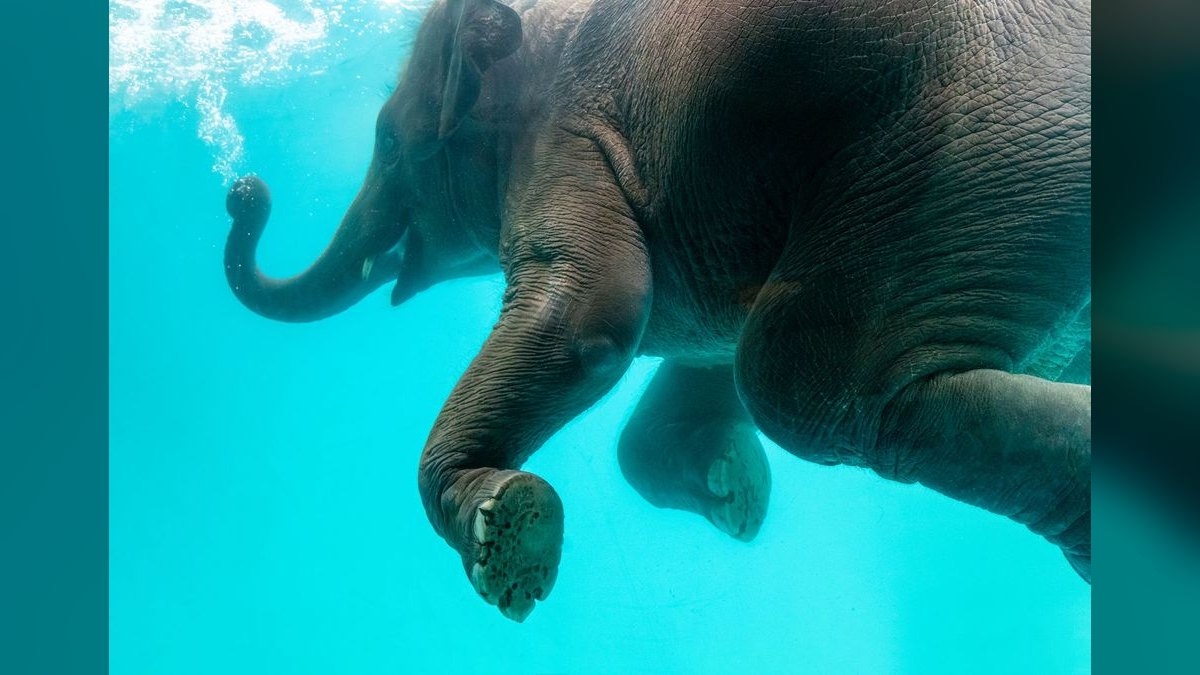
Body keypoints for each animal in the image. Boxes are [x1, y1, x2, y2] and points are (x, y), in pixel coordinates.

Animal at [224, 0, 1091, 622]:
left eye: (389, 143)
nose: (243, 190)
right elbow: (682, 372)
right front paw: (734, 494)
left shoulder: (565, 140)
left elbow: (595, 313)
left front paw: (507, 531)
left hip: (978, 138)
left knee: (810, 379)